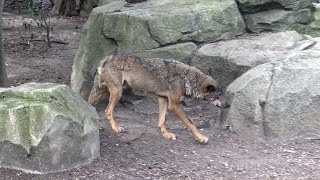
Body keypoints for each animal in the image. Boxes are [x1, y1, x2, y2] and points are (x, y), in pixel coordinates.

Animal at [87, 54, 230, 143]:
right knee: (107, 111)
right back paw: (116, 128)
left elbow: (162, 120)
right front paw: (201, 138)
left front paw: (166, 134)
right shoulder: (175, 105)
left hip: (100, 93)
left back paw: (98, 127)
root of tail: (107, 58)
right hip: (117, 93)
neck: (186, 78)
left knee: (91, 106)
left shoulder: (163, 99)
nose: (228, 105)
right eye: (218, 96)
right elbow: (191, 123)